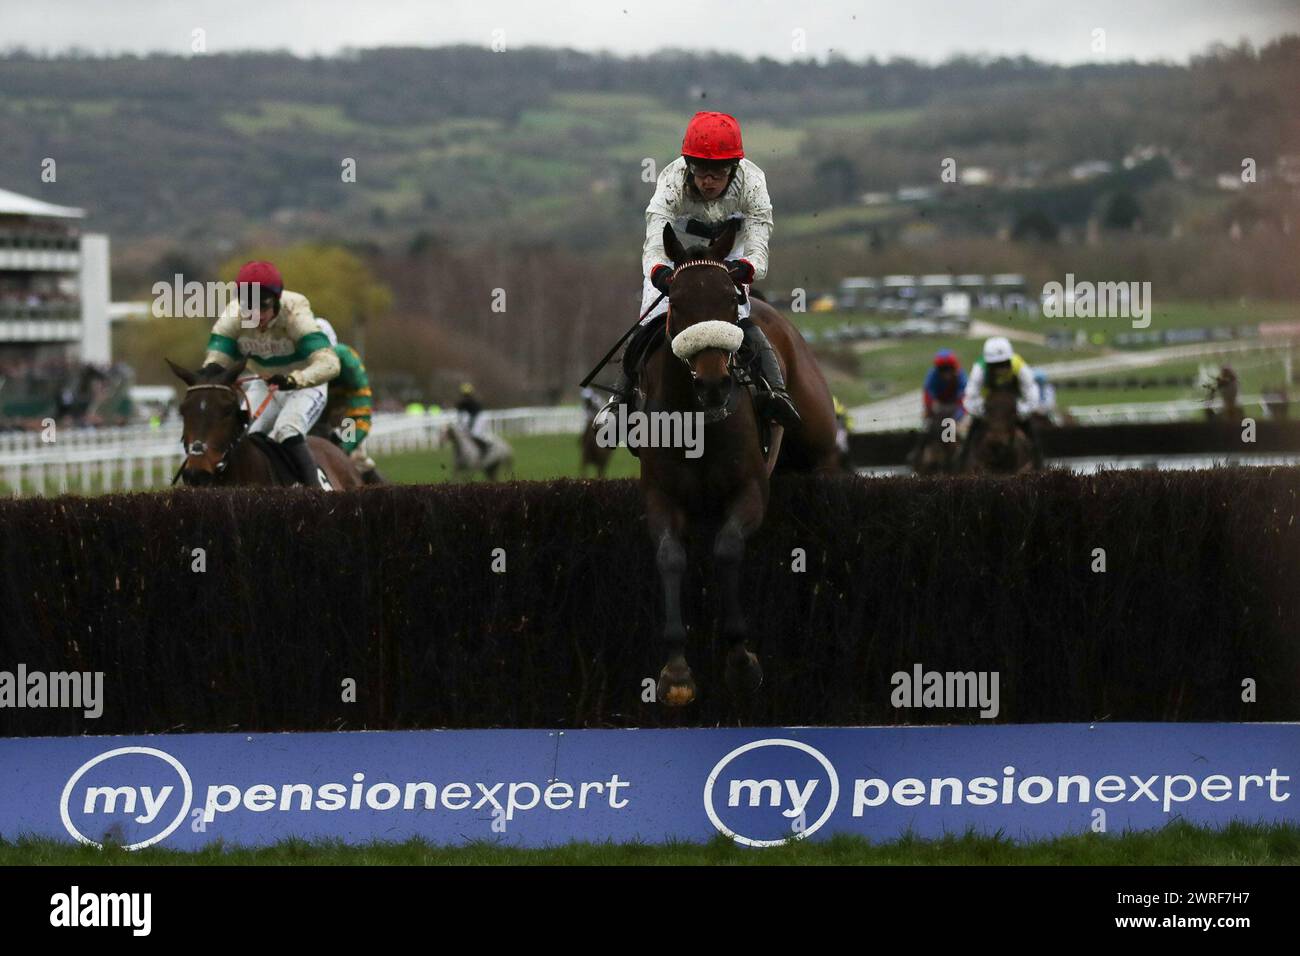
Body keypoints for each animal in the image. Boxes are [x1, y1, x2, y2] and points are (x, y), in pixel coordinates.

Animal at [634, 221, 837, 707]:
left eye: (728, 298)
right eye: (677, 301)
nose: (714, 384)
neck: (698, 423)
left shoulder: (750, 488)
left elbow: (727, 548)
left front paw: (741, 660)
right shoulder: (660, 495)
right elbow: (670, 556)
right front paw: (676, 671)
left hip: (820, 448)